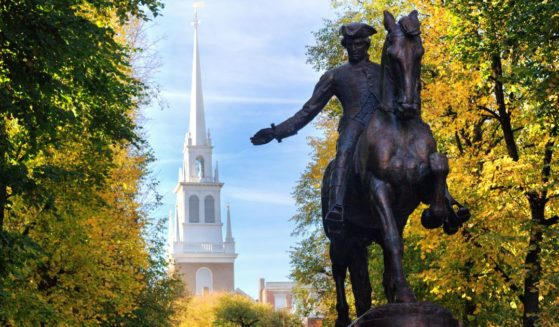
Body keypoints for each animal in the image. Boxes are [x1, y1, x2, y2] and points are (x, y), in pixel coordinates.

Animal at [322, 9, 470, 326]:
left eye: (420, 51)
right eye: (391, 53)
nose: (408, 106)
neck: (401, 129)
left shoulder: (416, 191)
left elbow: (439, 164)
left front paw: (438, 215)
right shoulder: (378, 187)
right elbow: (393, 241)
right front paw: (403, 293)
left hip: (364, 234)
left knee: (367, 278)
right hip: (341, 236)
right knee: (339, 269)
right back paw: (345, 316)